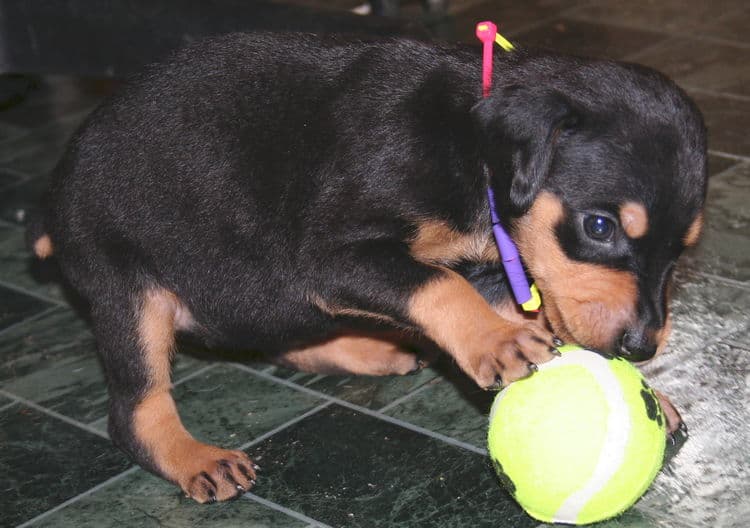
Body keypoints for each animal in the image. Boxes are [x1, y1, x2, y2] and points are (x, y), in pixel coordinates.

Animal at [29, 33, 708, 504]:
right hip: (128, 291)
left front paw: (650, 393)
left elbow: (491, 296)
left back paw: (371, 348)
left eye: (683, 248)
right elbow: (439, 284)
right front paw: (500, 341)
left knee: (278, 338)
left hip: (258, 295)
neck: (468, 147)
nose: (642, 347)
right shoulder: (329, 257)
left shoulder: (486, 265)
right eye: (600, 227)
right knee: (136, 409)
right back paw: (195, 456)